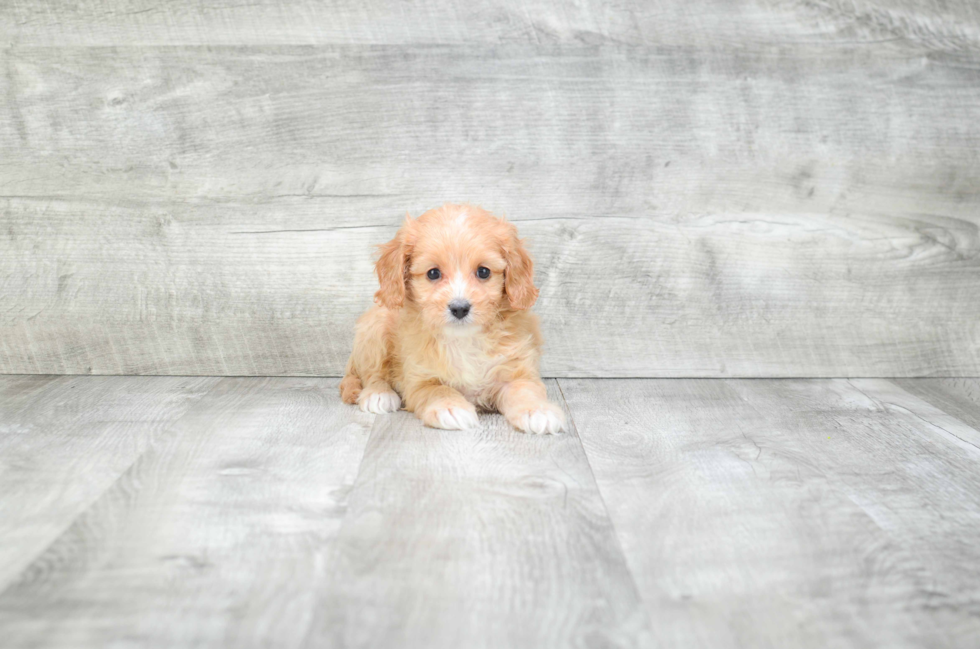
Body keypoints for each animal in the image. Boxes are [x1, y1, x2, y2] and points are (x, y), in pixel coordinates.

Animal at [338, 202, 564, 432]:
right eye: (433, 273)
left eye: (483, 272)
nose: (460, 308)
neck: (464, 339)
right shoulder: (419, 378)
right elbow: (437, 390)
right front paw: (450, 408)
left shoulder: (515, 369)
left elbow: (525, 389)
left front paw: (537, 411)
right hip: (375, 329)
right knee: (372, 373)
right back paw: (378, 394)